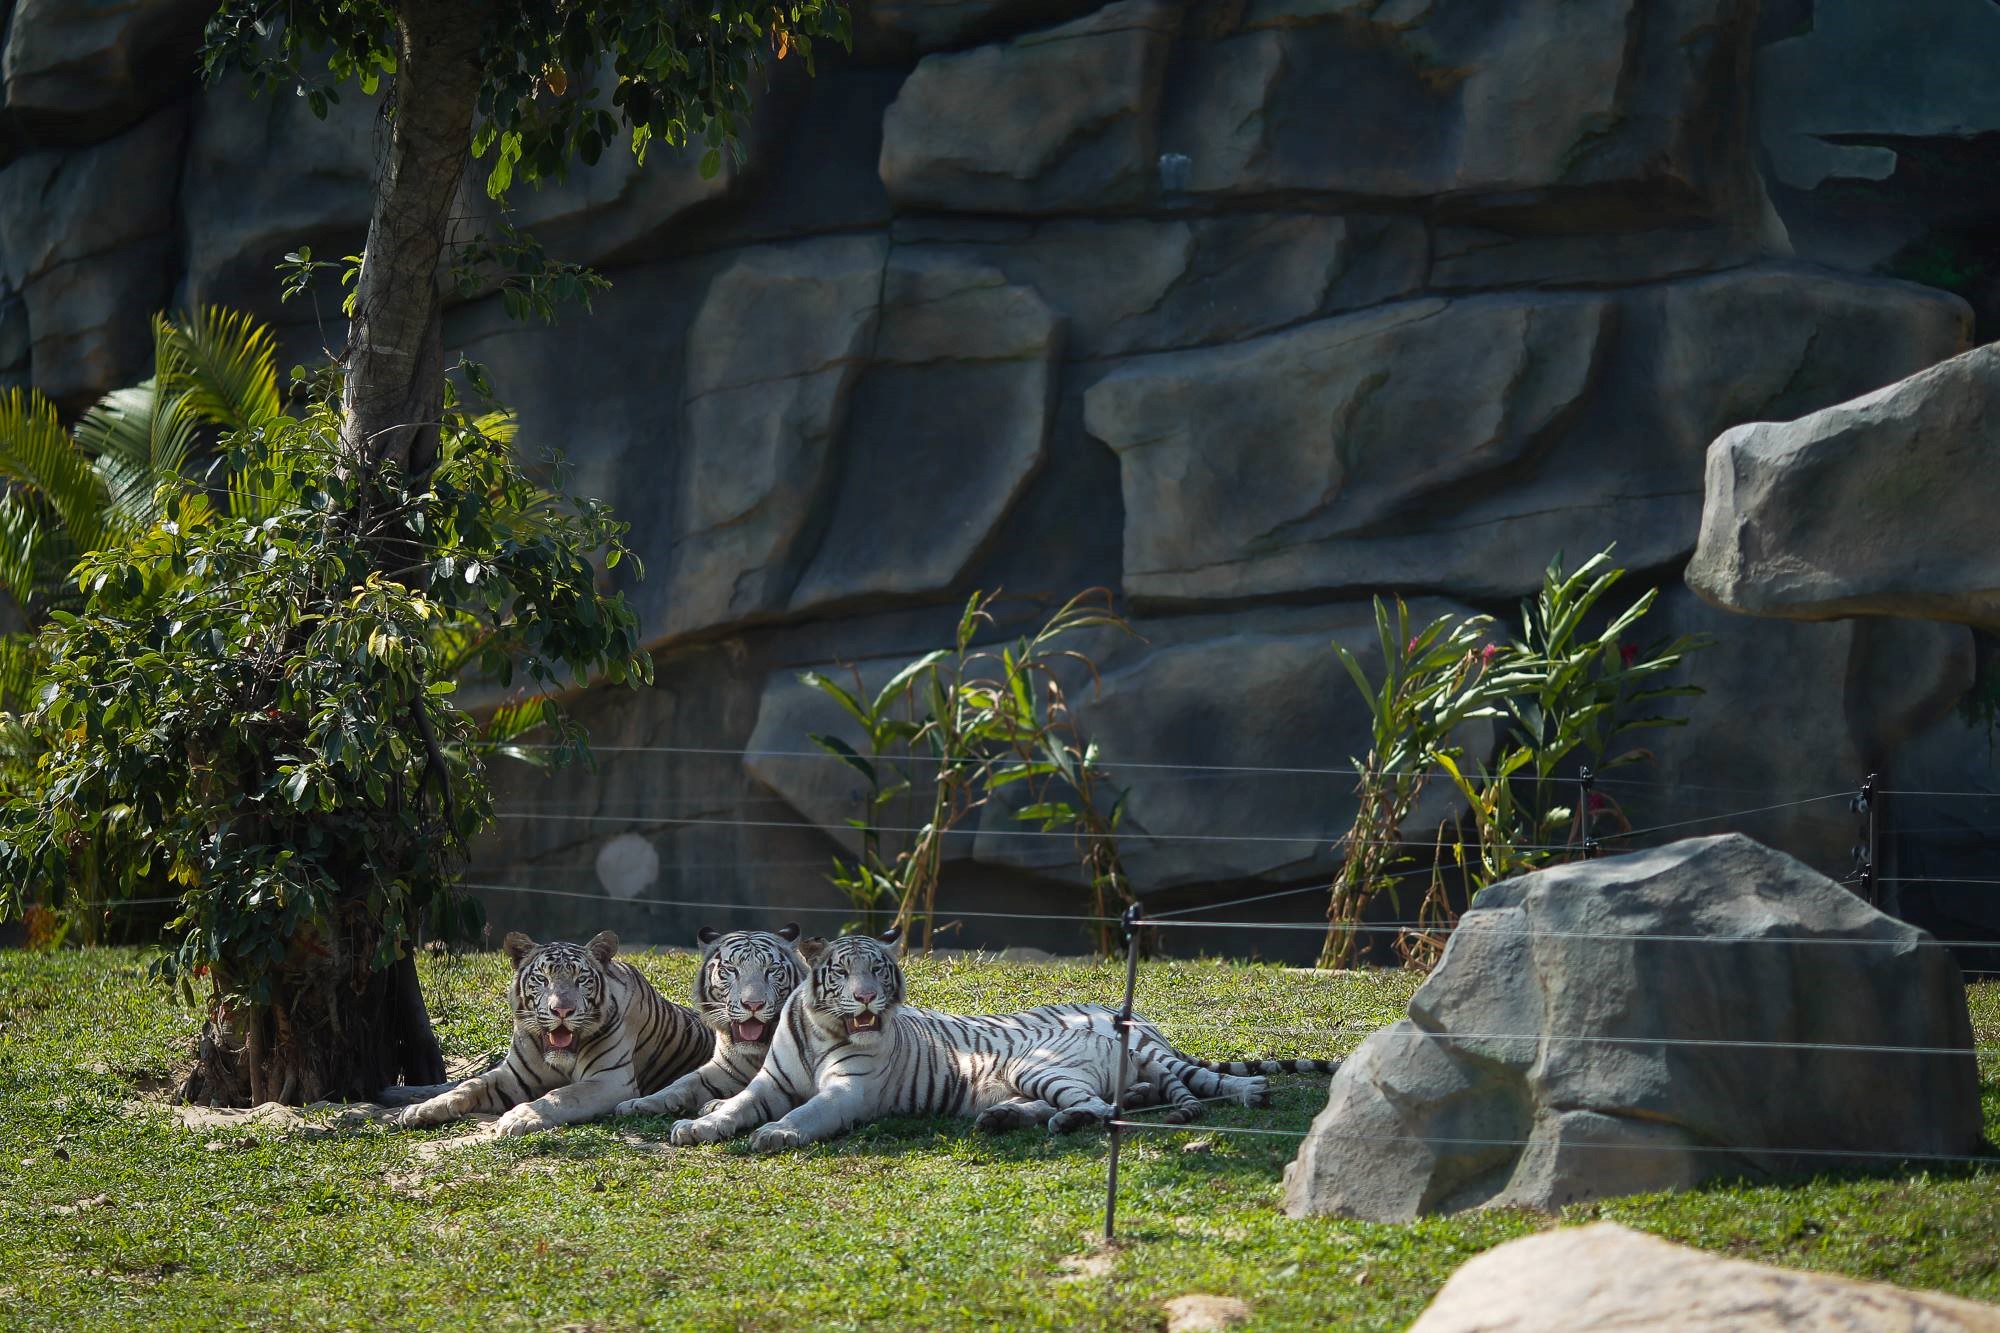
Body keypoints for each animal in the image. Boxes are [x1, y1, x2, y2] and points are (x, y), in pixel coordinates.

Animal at [664, 924, 1336, 1152]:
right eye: (845, 971)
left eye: (878, 970)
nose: (867, 998)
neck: (821, 1027)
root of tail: (1109, 1019)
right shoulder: (771, 1081)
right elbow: (739, 1103)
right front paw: (700, 1124)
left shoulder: (848, 1093)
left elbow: (804, 1113)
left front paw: (775, 1134)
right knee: (1113, 1102)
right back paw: (1005, 1119)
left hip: (1039, 1064)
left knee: (1106, 1109)